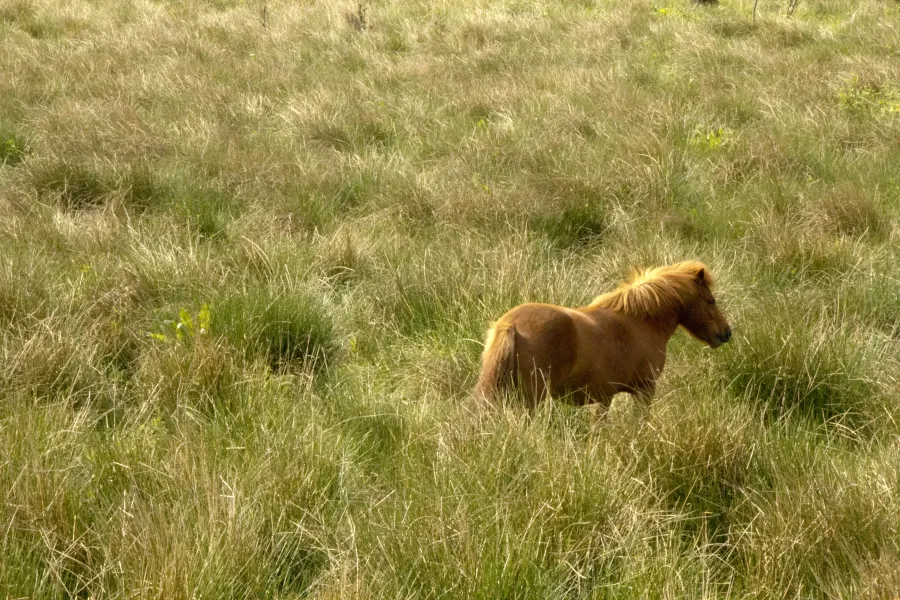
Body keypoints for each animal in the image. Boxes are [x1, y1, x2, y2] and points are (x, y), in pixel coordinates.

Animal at [474, 261, 732, 410]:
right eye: (711, 301)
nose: (726, 332)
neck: (639, 322)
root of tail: (510, 324)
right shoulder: (644, 390)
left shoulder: (603, 399)